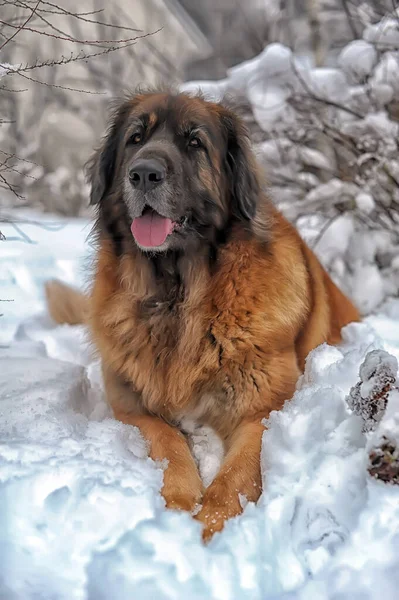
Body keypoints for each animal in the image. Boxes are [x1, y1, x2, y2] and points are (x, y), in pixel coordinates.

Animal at [45, 90, 360, 544]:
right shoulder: (131, 408)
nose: (144, 174)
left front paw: (210, 525)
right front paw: (179, 504)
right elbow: (168, 444)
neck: (178, 297)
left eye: (194, 142)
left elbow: (236, 475)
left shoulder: (263, 411)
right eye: (136, 139)